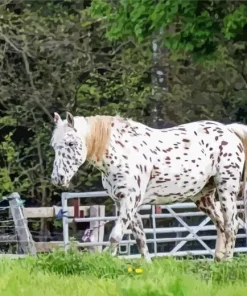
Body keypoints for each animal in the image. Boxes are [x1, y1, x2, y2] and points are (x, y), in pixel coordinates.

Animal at [49, 112, 247, 262]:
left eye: (71, 143)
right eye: (53, 145)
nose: (58, 178)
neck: (120, 152)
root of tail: (230, 131)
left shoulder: (130, 200)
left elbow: (115, 236)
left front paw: (107, 262)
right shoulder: (125, 203)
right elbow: (140, 239)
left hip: (226, 189)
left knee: (231, 225)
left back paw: (227, 262)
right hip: (203, 197)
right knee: (221, 224)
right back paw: (217, 261)